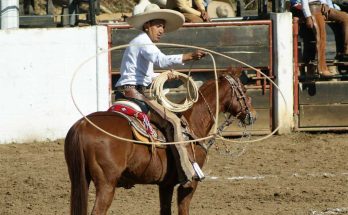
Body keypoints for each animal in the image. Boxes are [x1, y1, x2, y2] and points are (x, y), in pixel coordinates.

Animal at [64, 68, 256, 214]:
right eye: (244, 90)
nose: (253, 115)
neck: (192, 123)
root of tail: (82, 124)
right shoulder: (189, 184)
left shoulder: (165, 184)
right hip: (106, 184)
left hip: (79, 179)